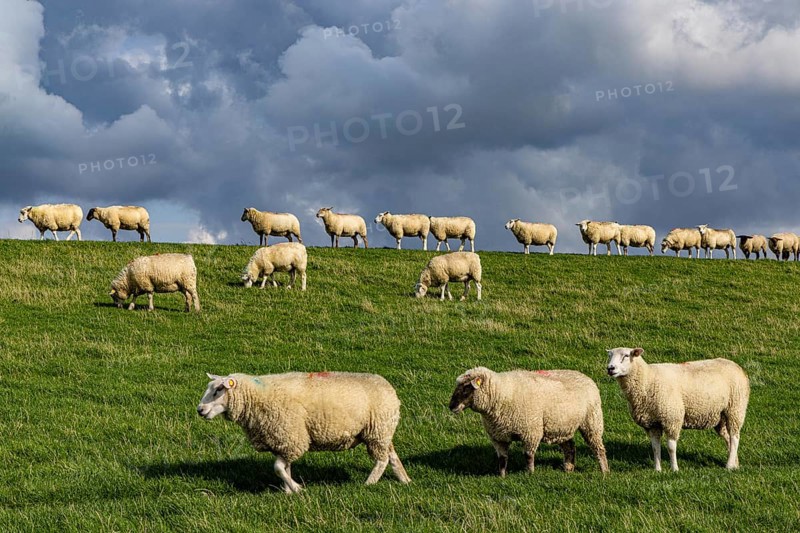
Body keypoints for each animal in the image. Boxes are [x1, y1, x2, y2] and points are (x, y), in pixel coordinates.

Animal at [197, 371, 411, 493]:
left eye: (218, 389)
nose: (200, 410)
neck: (257, 397)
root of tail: (390, 388)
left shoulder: (291, 437)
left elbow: (277, 468)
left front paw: (297, 488)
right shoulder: (283, 441)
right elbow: (285, 468)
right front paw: (288, 490)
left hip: (377, 432)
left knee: (382, 460)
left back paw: (369, 483)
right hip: (382, 433)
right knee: (392, 455)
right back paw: (404, 480)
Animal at [449, 367, 609, 476]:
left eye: (467, 388)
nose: (451, 406)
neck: (502, 394)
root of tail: (584, 376)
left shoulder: (530, 432)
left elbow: (528, 455)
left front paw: (530, 474)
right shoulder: (498, 436)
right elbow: (502, 459)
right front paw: (501, 476)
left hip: (592, 421)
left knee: (598, 448)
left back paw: (605, 471)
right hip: (562, 426)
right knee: (570, 447)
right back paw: (569, 469)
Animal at [606, 347, 749, 472]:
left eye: (626, 355)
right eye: (609, 355)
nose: (610, 368)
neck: (648, 380)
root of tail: (737, 366)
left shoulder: (671, 418)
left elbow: (671, 447)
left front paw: (674, 469)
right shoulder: (652, 423)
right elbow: (655, 447)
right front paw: (657, 469)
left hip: (735, 408)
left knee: (735, 437)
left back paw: (729, 465)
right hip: (720, 415)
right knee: (728, 437)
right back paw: (735, 463)